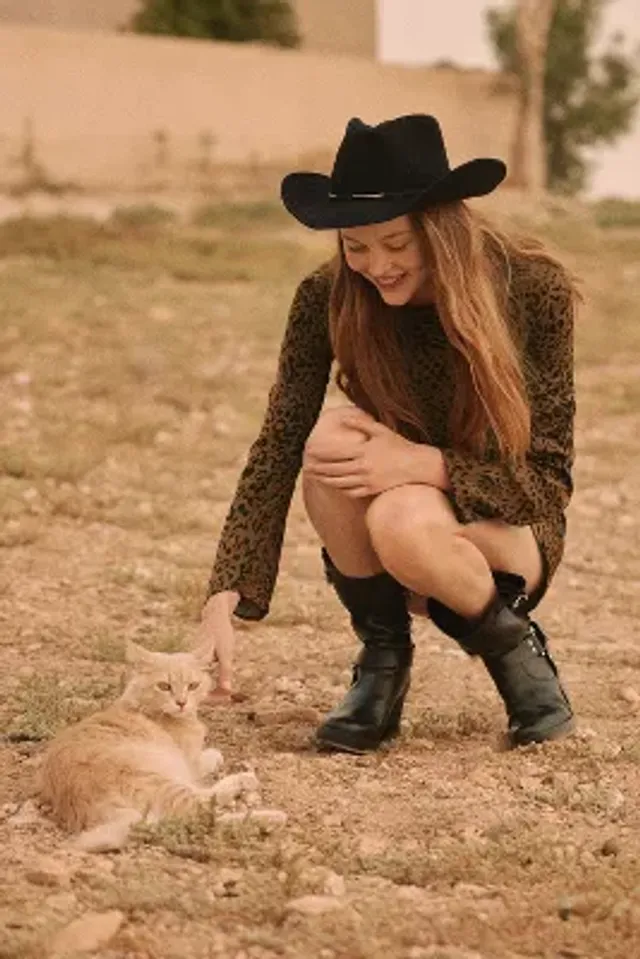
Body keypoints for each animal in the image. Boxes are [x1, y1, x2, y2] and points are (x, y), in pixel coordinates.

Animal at [38, 640, 255, 852]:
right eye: (164, 686)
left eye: (193, 686)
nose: (182, 703)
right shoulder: (190, 763)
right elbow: (211, 756)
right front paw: (215, 756)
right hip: (165, 781)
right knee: (203, 810)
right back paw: (250, 796)